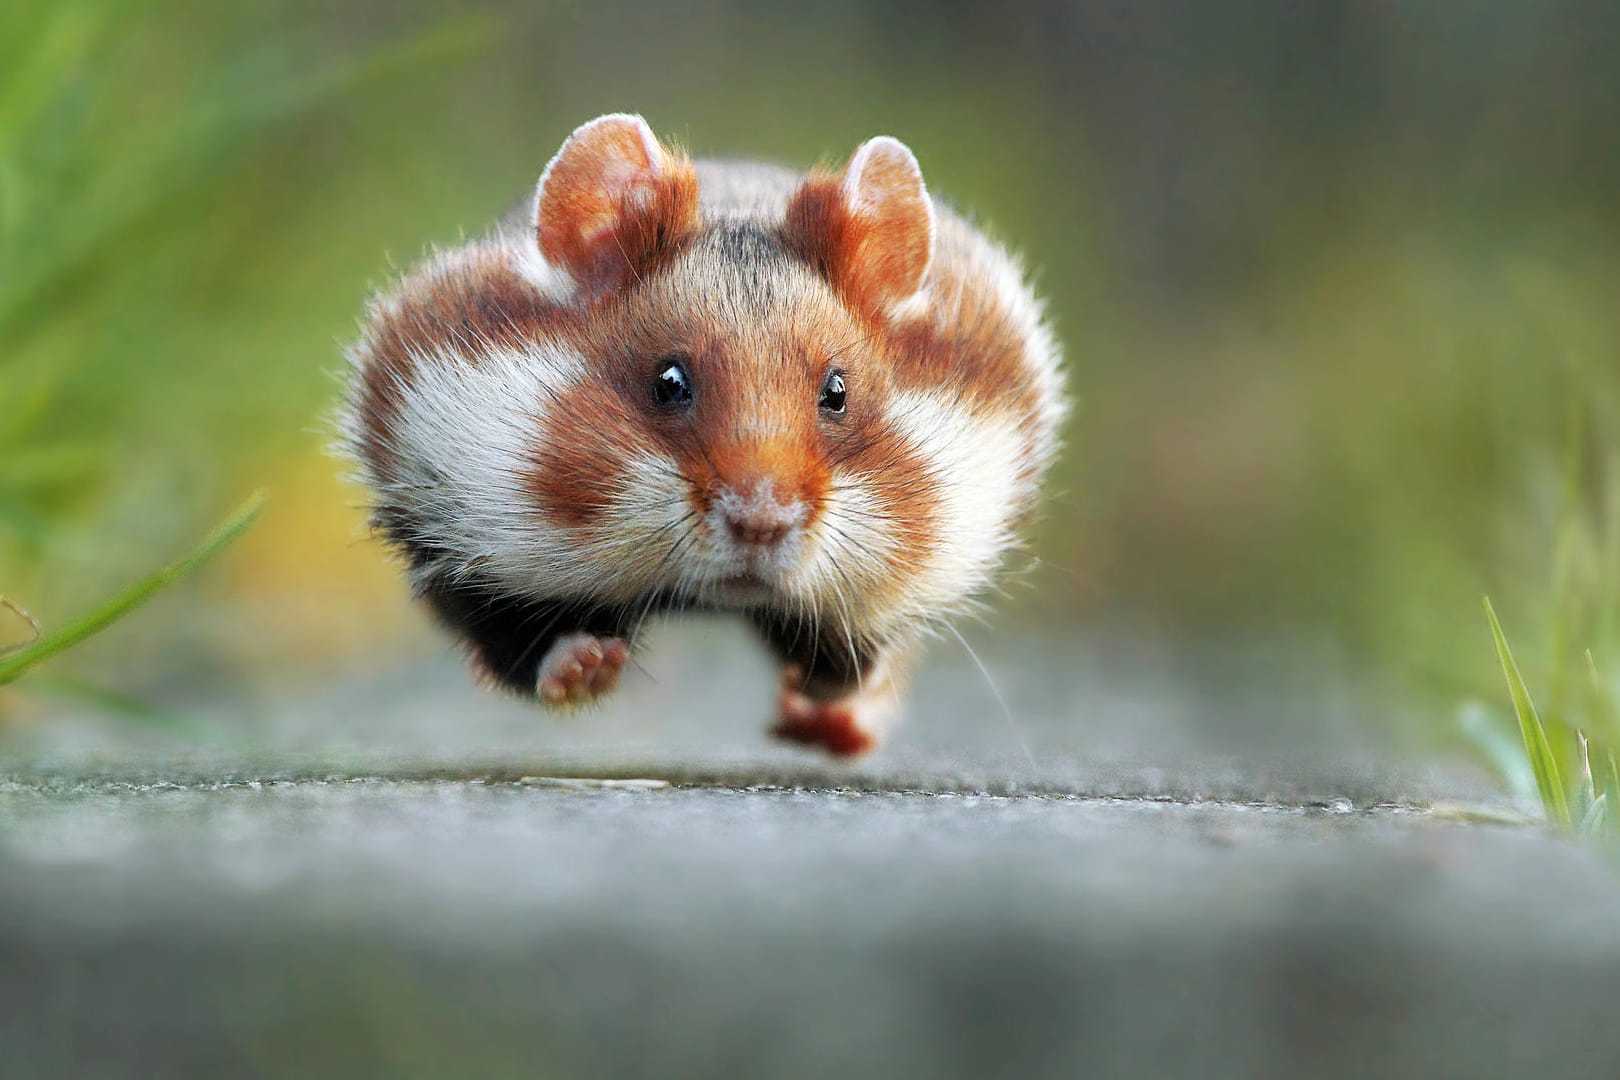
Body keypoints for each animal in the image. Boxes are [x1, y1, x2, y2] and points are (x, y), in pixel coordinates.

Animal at [340, 114, 1069, 757]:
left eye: (837, 393)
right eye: (669, 383)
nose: (761, 524)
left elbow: (853, 657)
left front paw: (816, 689)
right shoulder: (452, 532)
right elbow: (519, 643)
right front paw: (589, 666)